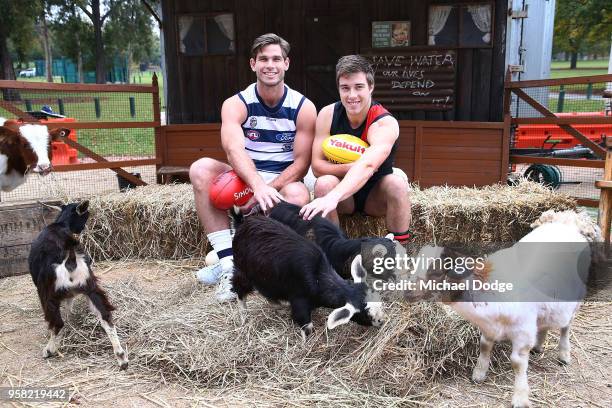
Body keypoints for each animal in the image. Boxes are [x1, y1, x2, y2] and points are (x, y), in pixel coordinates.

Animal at [29, 201, 129, 370]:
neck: (62, 224)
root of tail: (70, 258)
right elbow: (69, 306)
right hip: (91, 288)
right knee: (106, 316)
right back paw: (121, 357)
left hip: (48, 295)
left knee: (57, 323)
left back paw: (49, 350)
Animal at [230, 210, 382, 338]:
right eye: (366, 315)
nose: (381, 320)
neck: (318, 277)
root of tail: (241, 223)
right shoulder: (299, 299)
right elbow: (306, 325)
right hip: (244, 270)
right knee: (238, 288)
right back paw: (243, 316)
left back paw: (278, 306)